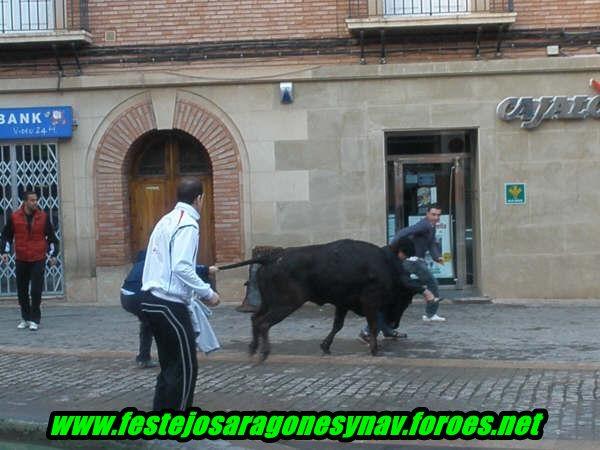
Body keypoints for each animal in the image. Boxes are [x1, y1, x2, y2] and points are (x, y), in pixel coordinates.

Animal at [218, 239, 420, 362]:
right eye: (405, 299)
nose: (394, 323)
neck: (386, 268)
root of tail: (272, 257)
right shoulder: (370, 303)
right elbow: (372, 325)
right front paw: (375, 350)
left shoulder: (342, 304)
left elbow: (338, 325)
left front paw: (325, 346)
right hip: (286, 304)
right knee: (263, 323)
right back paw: (264, 353)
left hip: (268, 302)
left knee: (255, 319)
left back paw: (253, 349)